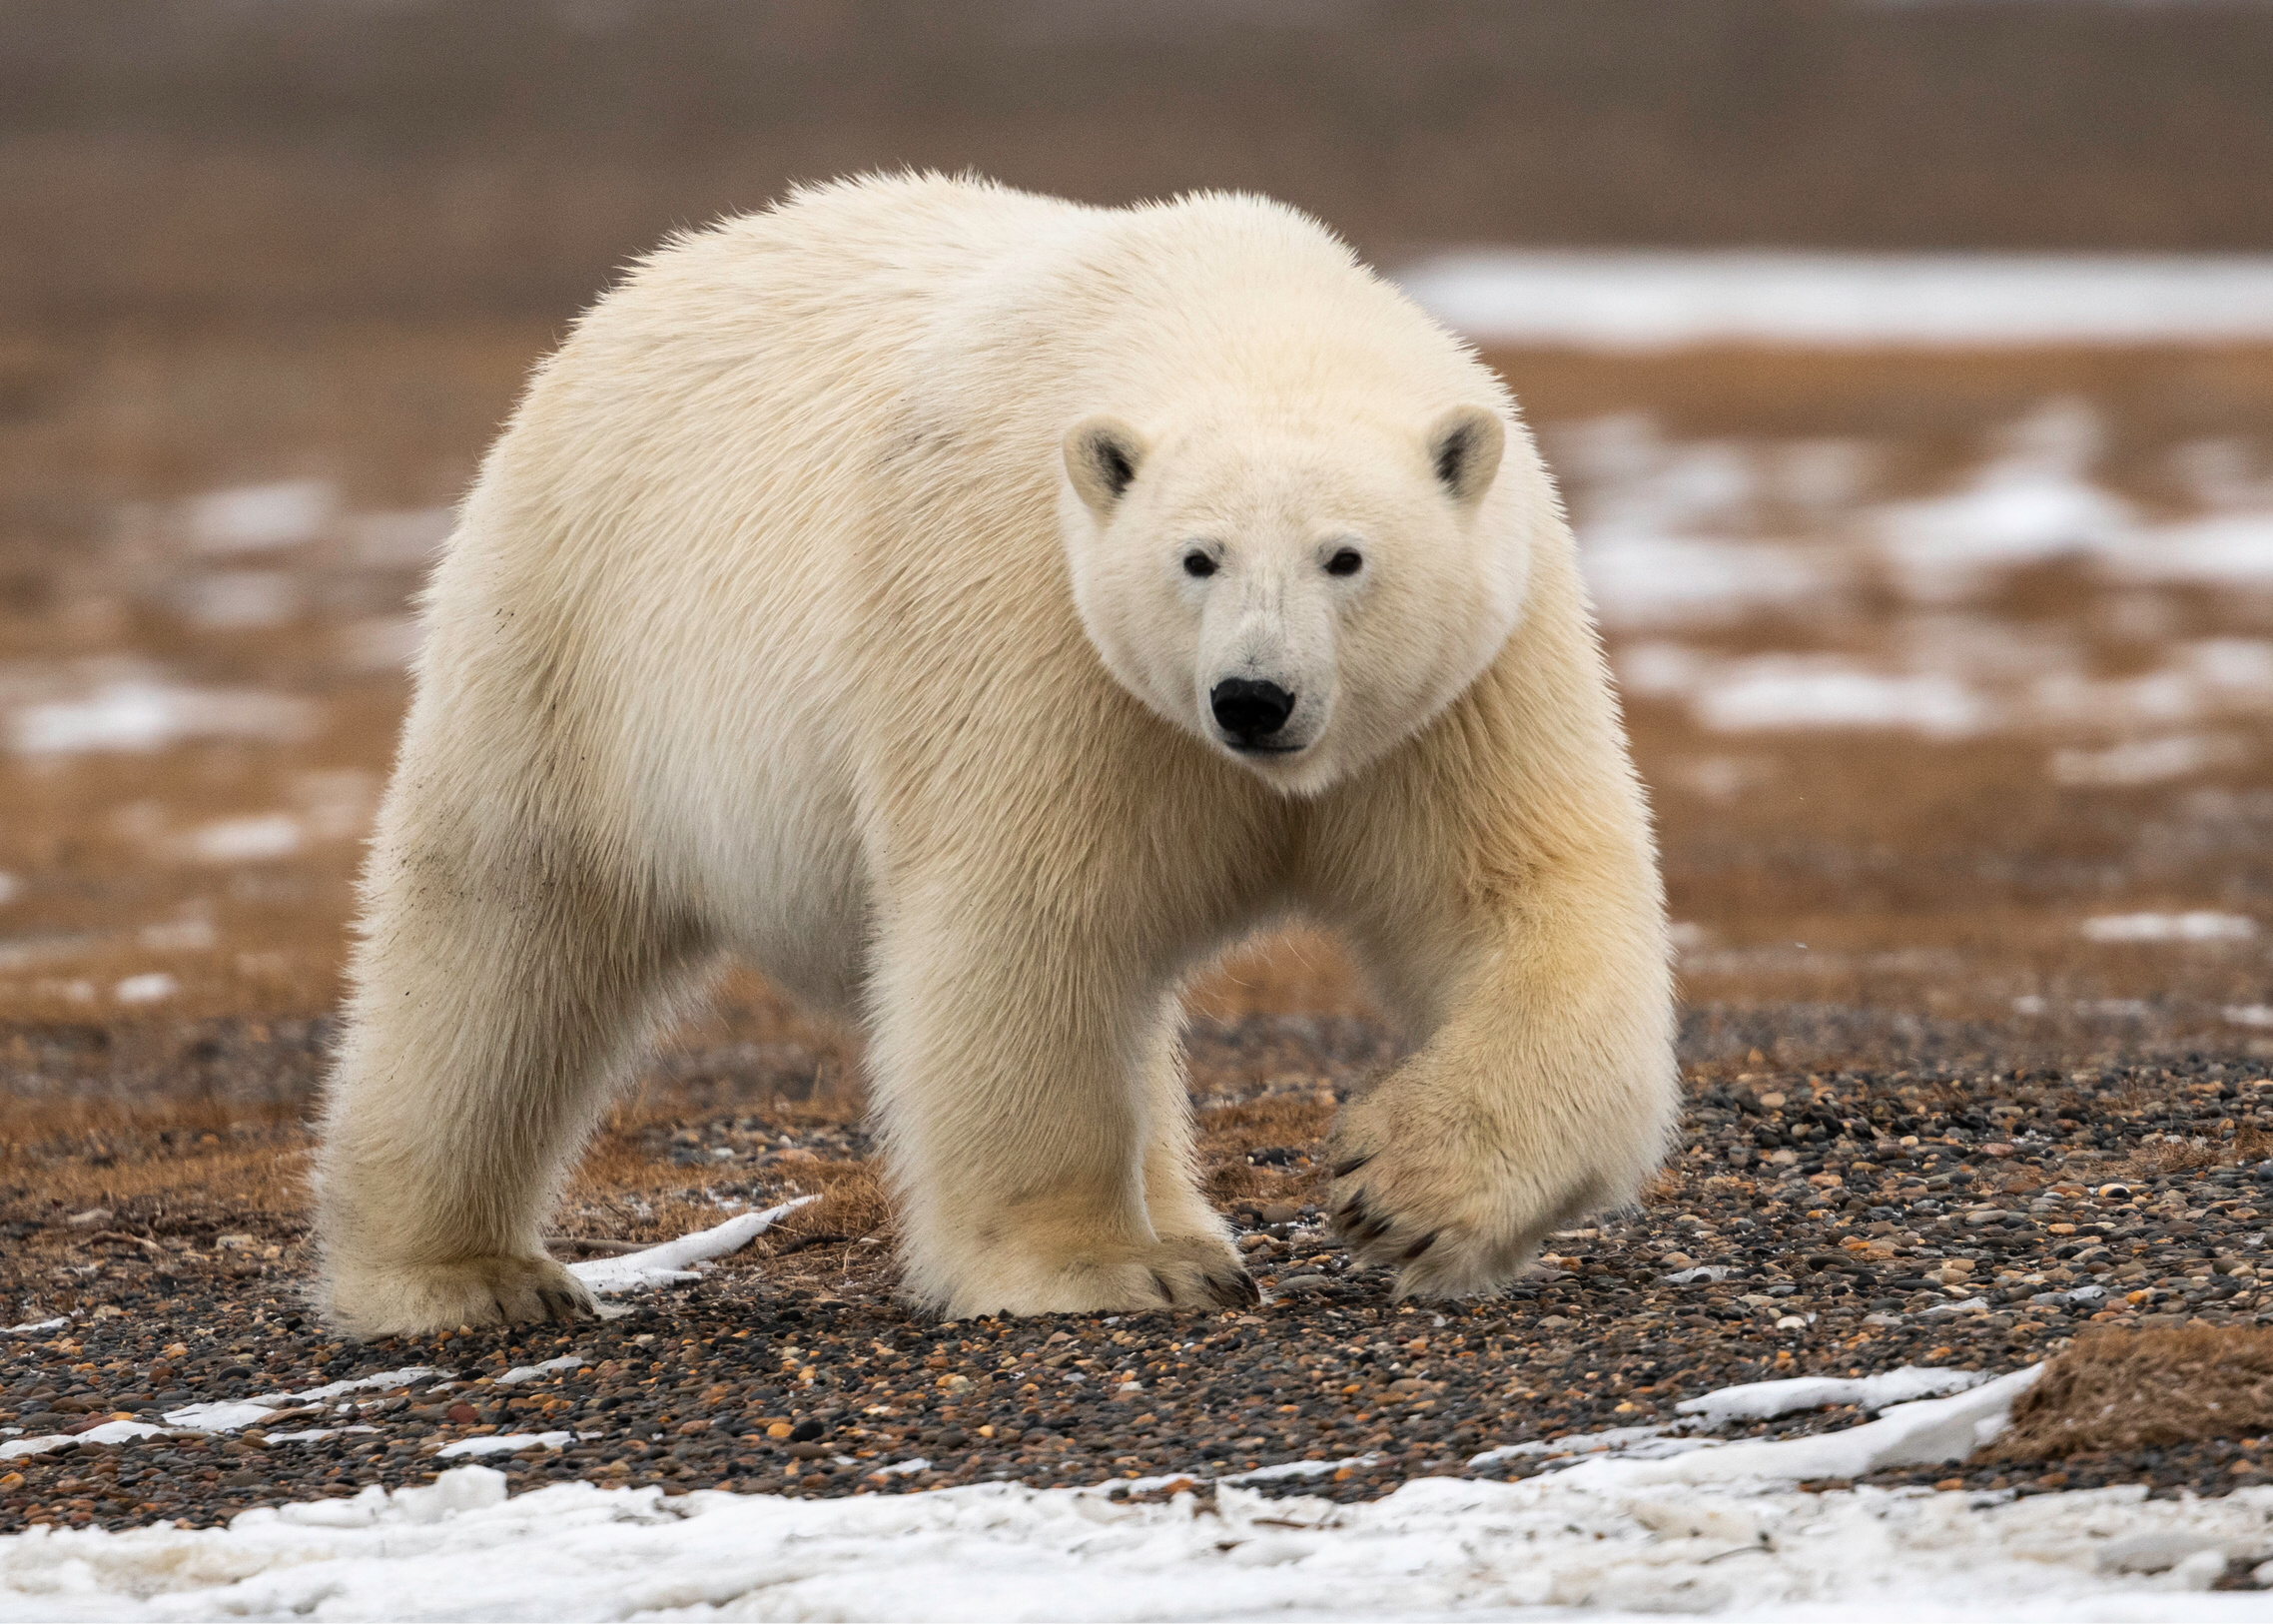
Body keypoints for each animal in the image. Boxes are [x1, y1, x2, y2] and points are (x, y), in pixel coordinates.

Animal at [314, 173, 1676, 1337]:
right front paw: (1096, 1266)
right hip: (572, 639)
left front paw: (1403, 1192)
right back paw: (461, 1278)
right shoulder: (1029, 623)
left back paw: (1195, 1226)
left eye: (1345, 556)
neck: (1232, 312)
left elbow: (1522, 893)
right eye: (1195, 556)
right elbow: (1027, 928)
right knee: (502, 931)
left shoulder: (1467, 684)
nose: (1252, 697)